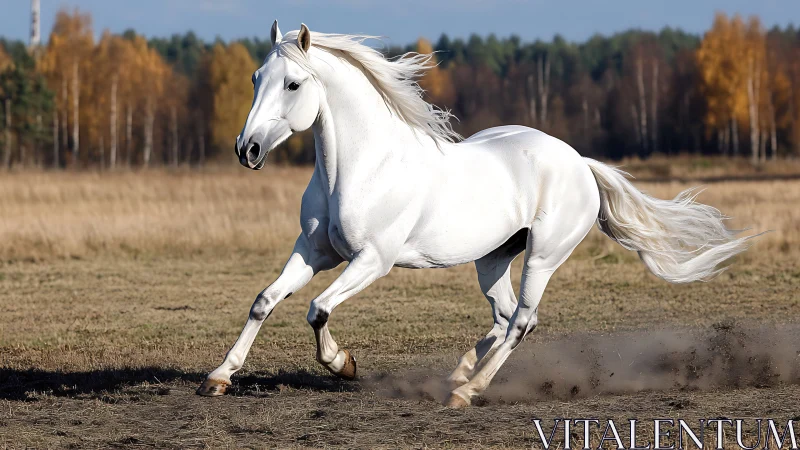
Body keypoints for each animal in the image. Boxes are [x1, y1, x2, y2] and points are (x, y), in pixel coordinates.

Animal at [196, 21, 753, 407]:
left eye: (292, 84)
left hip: (543, 257)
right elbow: (264, 302)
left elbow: (318, 309)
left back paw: (466, 391)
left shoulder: (372, 261)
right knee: (504, 316)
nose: (247, 149)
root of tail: (580, 163)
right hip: (492, 259)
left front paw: (343, 364)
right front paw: (218, 378)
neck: (358, 168)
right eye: (255, 78)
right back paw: (460, 372)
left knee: (522, 322)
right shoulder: (313, 252)